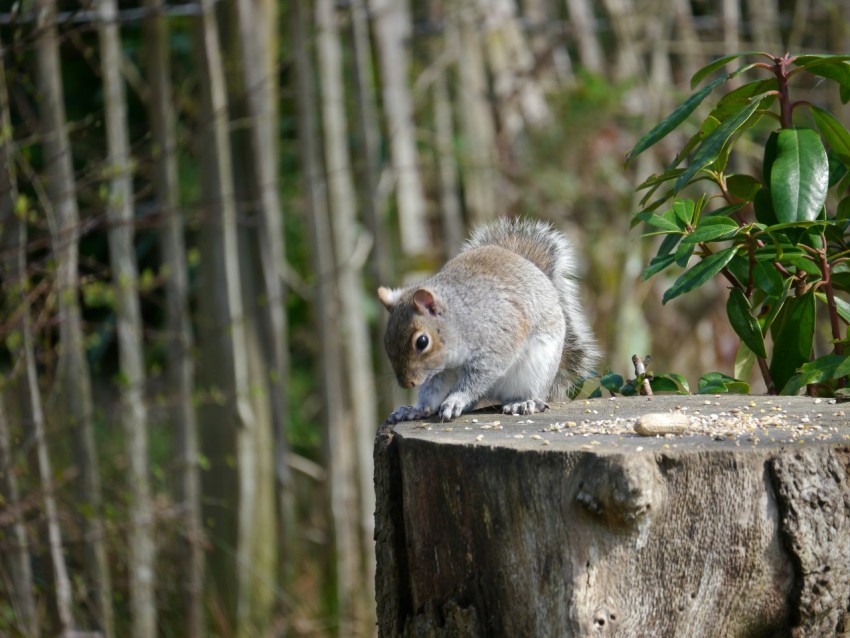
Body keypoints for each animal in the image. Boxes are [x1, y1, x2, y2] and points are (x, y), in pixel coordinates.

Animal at [378, 220, 596, 424]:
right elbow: (432, 390)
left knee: (530, 393)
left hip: (538, 369)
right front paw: (417, 409)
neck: (459, 319)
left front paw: (455, 400)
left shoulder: (493, 344)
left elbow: (479, 377)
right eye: (386, 341)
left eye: (422, 341)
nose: (408, 383)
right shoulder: (440, 370)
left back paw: (523, 402)